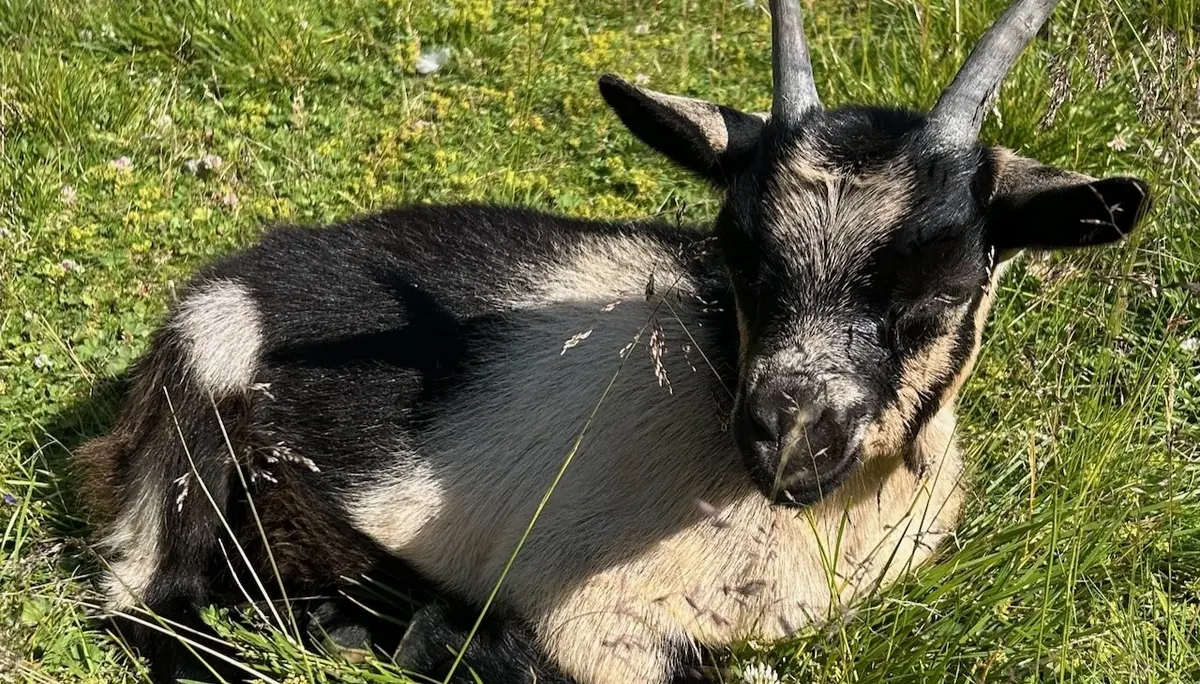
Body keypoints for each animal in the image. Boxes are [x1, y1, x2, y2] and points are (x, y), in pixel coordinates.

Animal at [75, 0, 1152, 682]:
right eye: (738, 251)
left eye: (948, 285)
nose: (787, 438)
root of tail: (238, 276)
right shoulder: (598, 625)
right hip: (199, 433)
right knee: (149, 603)